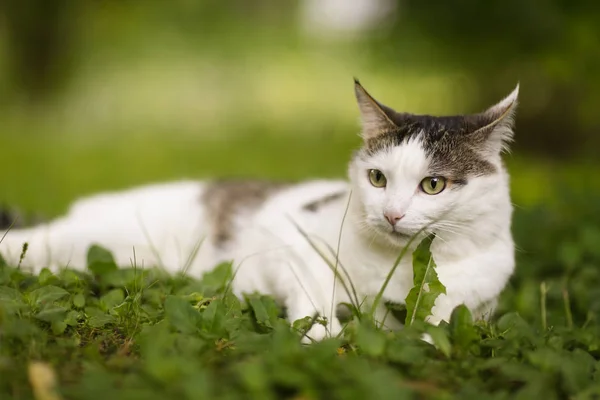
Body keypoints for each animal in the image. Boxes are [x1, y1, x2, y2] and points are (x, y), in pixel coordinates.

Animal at [0, 79, 516, 342]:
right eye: (377, 179)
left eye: (433, 185)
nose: (390, 215)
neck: (401, 265)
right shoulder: (298, 246)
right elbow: (318, 306)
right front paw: (328, 342)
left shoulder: (472, 305)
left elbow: (437, 330)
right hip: (90, 238)